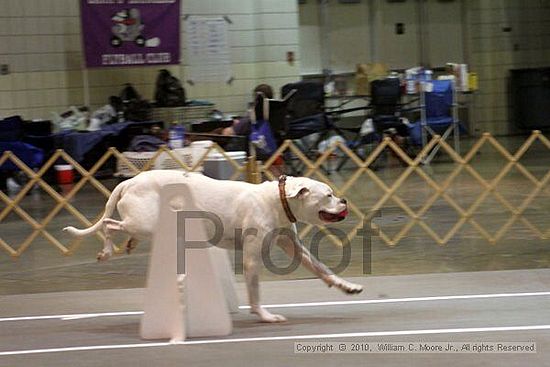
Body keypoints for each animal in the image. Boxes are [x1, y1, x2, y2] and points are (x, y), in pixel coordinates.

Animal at [64, 171, 364, 324]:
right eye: (328, 195)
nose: (345, 200)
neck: (276, 200)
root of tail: (129, 181)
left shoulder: (295, 248)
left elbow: (322, 269)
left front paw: (347, 286)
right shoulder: (252, 259)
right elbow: (255, 293)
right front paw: (265, 316)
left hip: (145, 224)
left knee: (118, 227)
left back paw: (128, 244)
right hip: (143, 222)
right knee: (109, 225)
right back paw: (107, 251)